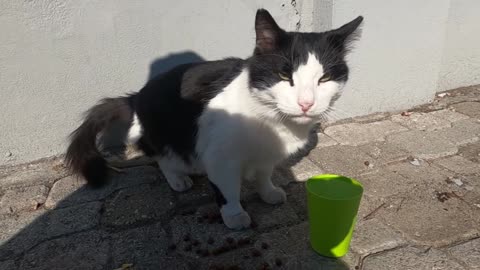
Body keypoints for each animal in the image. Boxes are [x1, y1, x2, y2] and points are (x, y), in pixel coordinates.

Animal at [65, 10, 362, 230]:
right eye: (283, 75)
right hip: (164, 132)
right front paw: (234, 215)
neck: (271, 121)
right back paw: (178, 179)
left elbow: (264, 173)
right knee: (162, 156)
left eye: (324, 79)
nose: (306, 103)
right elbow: (227, 188)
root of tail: (137, 96)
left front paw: (268, 192)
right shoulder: (221, 157)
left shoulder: (267, 155)